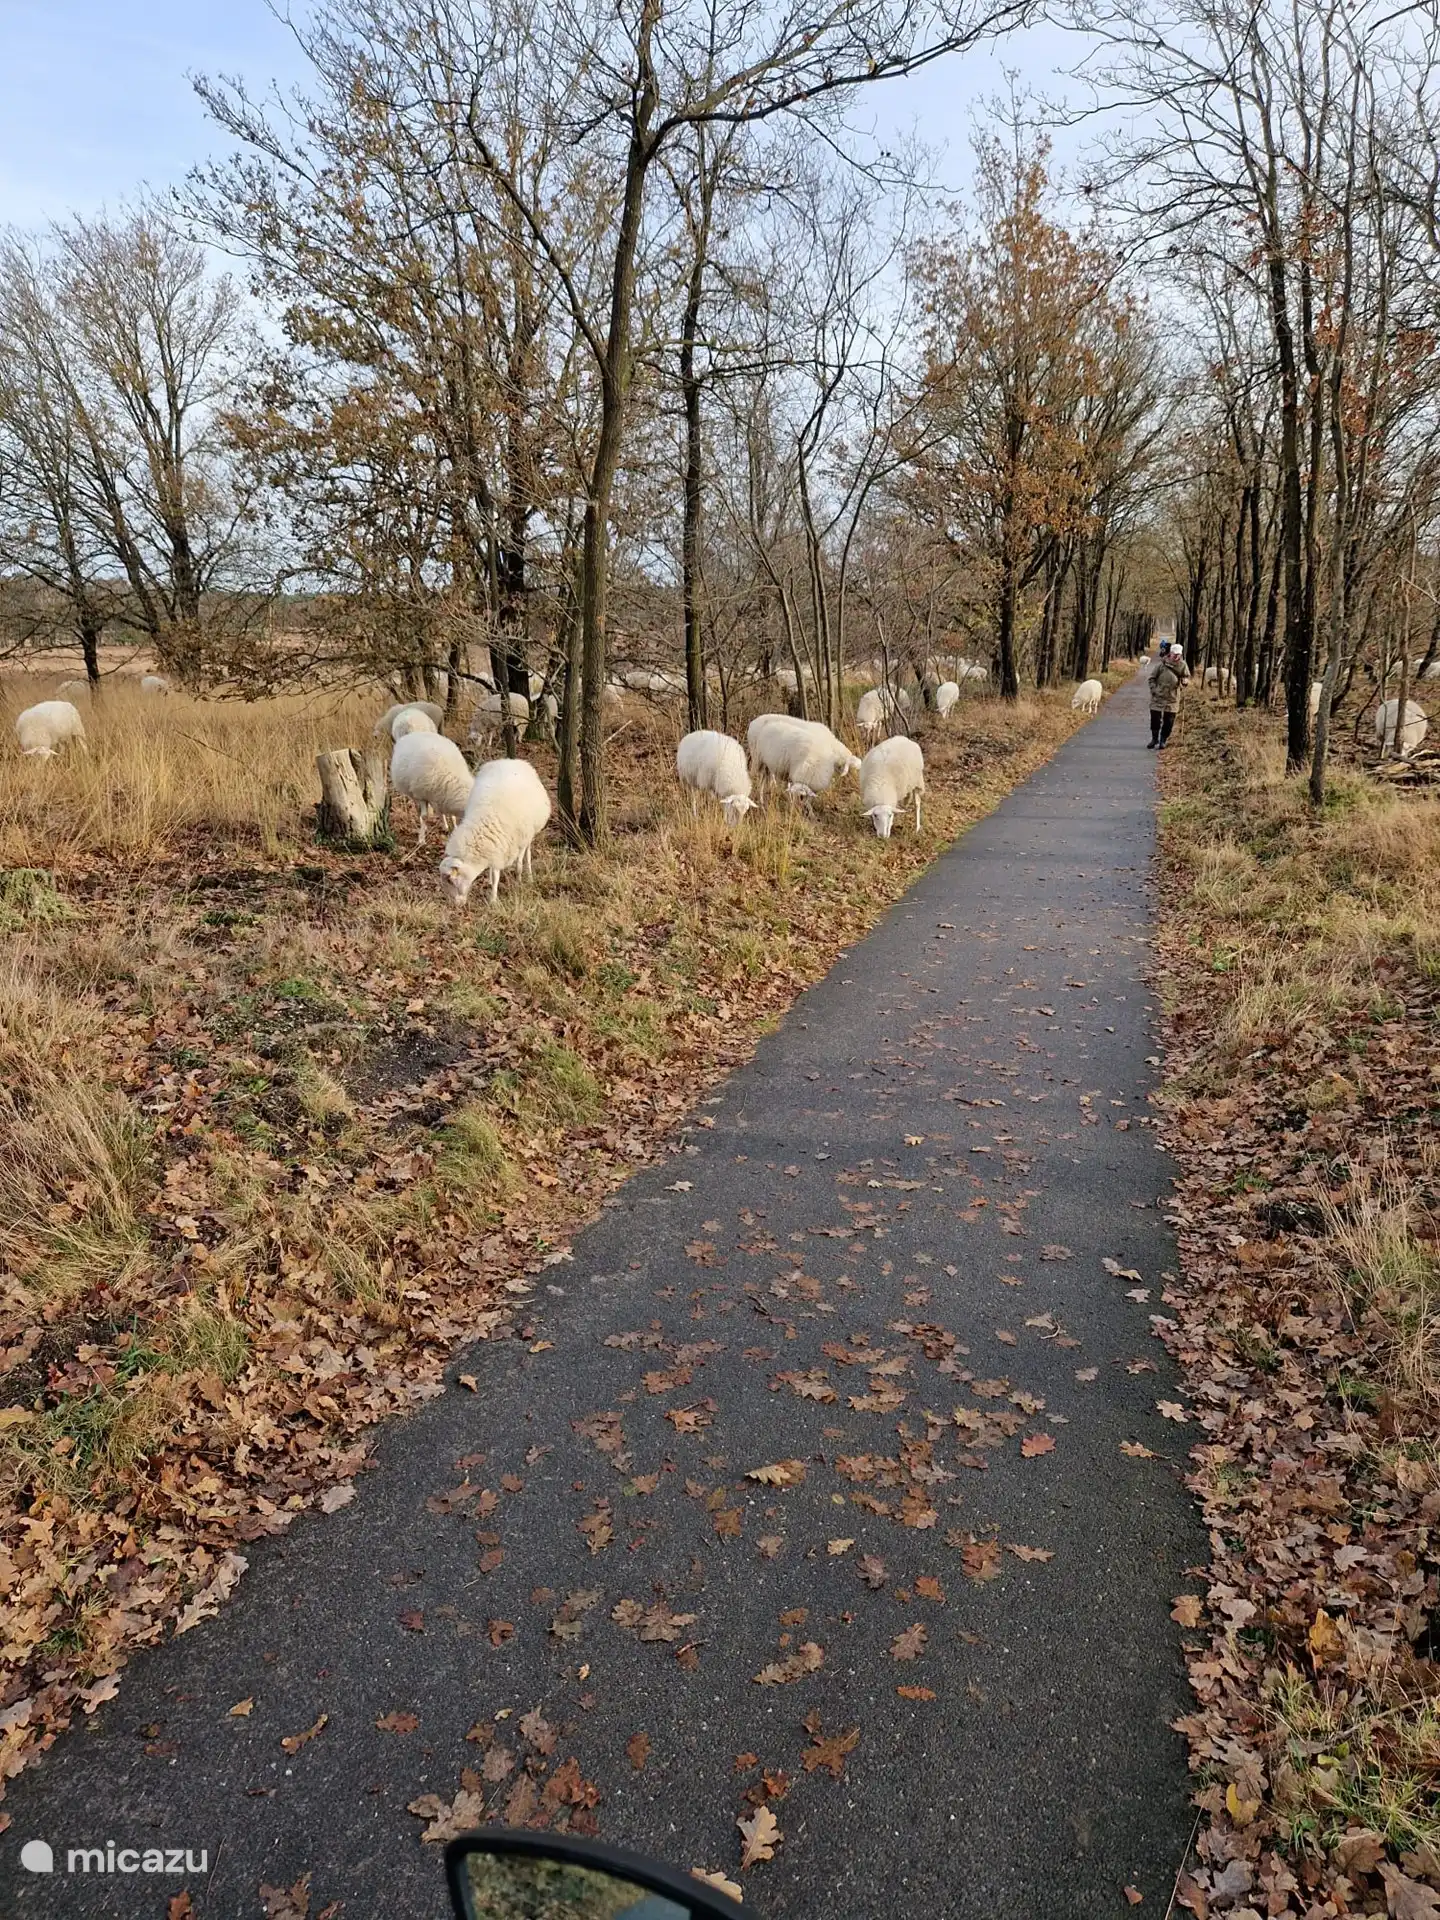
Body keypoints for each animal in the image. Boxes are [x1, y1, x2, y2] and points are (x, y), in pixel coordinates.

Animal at [439, 758, 551, 905]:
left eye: (450, 880)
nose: (455, 905)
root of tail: (510, 760)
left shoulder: (518, 841)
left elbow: (517, 865)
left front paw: (515, 884)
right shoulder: (496, 845)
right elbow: (495, 873)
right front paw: (492, 892)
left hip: (530, 831)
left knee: (527, 852)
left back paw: (529, 875)